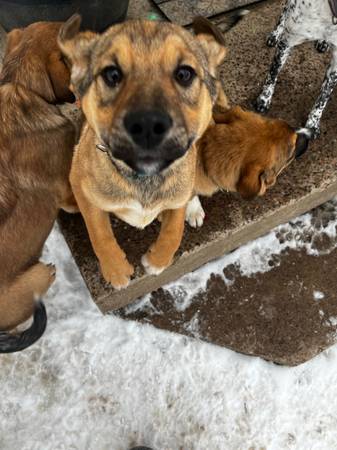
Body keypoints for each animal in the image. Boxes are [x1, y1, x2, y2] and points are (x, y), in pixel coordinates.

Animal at [57, 14, 242, 288]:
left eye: (184, 74)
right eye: (112, 74)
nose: (147, 125)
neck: (145, 180)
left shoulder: (177, 193)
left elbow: (175, 228)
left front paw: (158, 260)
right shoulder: (81, 188)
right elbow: (99, 234)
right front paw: (115, 270)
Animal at [255, 0, 336, 137]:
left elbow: (323, 97)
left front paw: (313, 123)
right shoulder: (288, 41)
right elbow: (273, 73)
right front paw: (264, 98)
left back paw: (322, 41)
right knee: (284, 11)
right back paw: (275, 33)